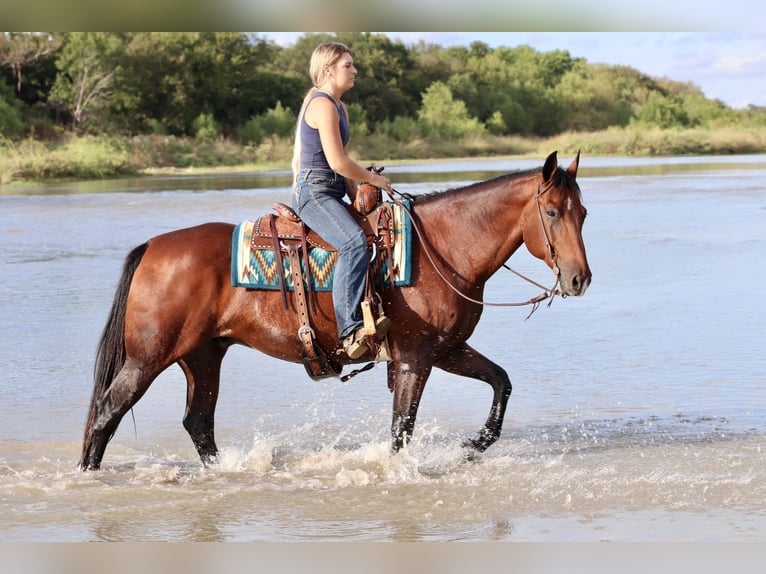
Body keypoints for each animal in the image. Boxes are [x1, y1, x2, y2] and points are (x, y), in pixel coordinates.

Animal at [79, 151, 591, 470]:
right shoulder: (415, 357)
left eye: (582, 213)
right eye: (551, 212)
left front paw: (471, 447)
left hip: (203, 356)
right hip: (148, 358)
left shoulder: (445, 350)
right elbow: (401, 429)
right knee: (107, 413)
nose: (579, 279)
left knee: (198, 423)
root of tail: (152, 247)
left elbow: (501, 382)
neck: (442, 249)